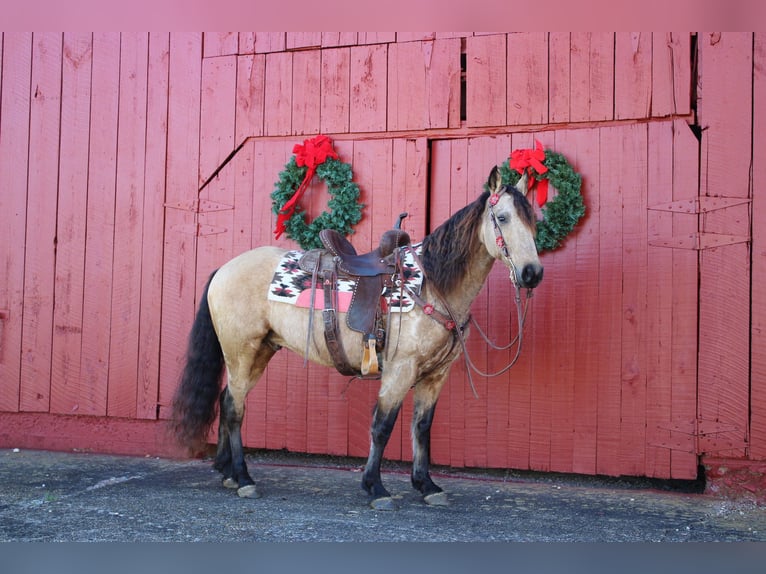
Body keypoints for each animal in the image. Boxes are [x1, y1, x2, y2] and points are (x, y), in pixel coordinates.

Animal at [171, 168, 544, 512]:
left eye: (533, 221)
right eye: (502, 217)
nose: (532, 273)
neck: (433, 286)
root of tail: (224, 269)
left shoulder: (435, 376)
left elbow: (422, 427)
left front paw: (427, 486)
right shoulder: (400, 371)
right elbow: (382, 426)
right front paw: (375, 488)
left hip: (259, 352)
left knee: (227, 400)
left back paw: (228, 473)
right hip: (241, 352)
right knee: (235, 408)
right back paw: (244, 477)